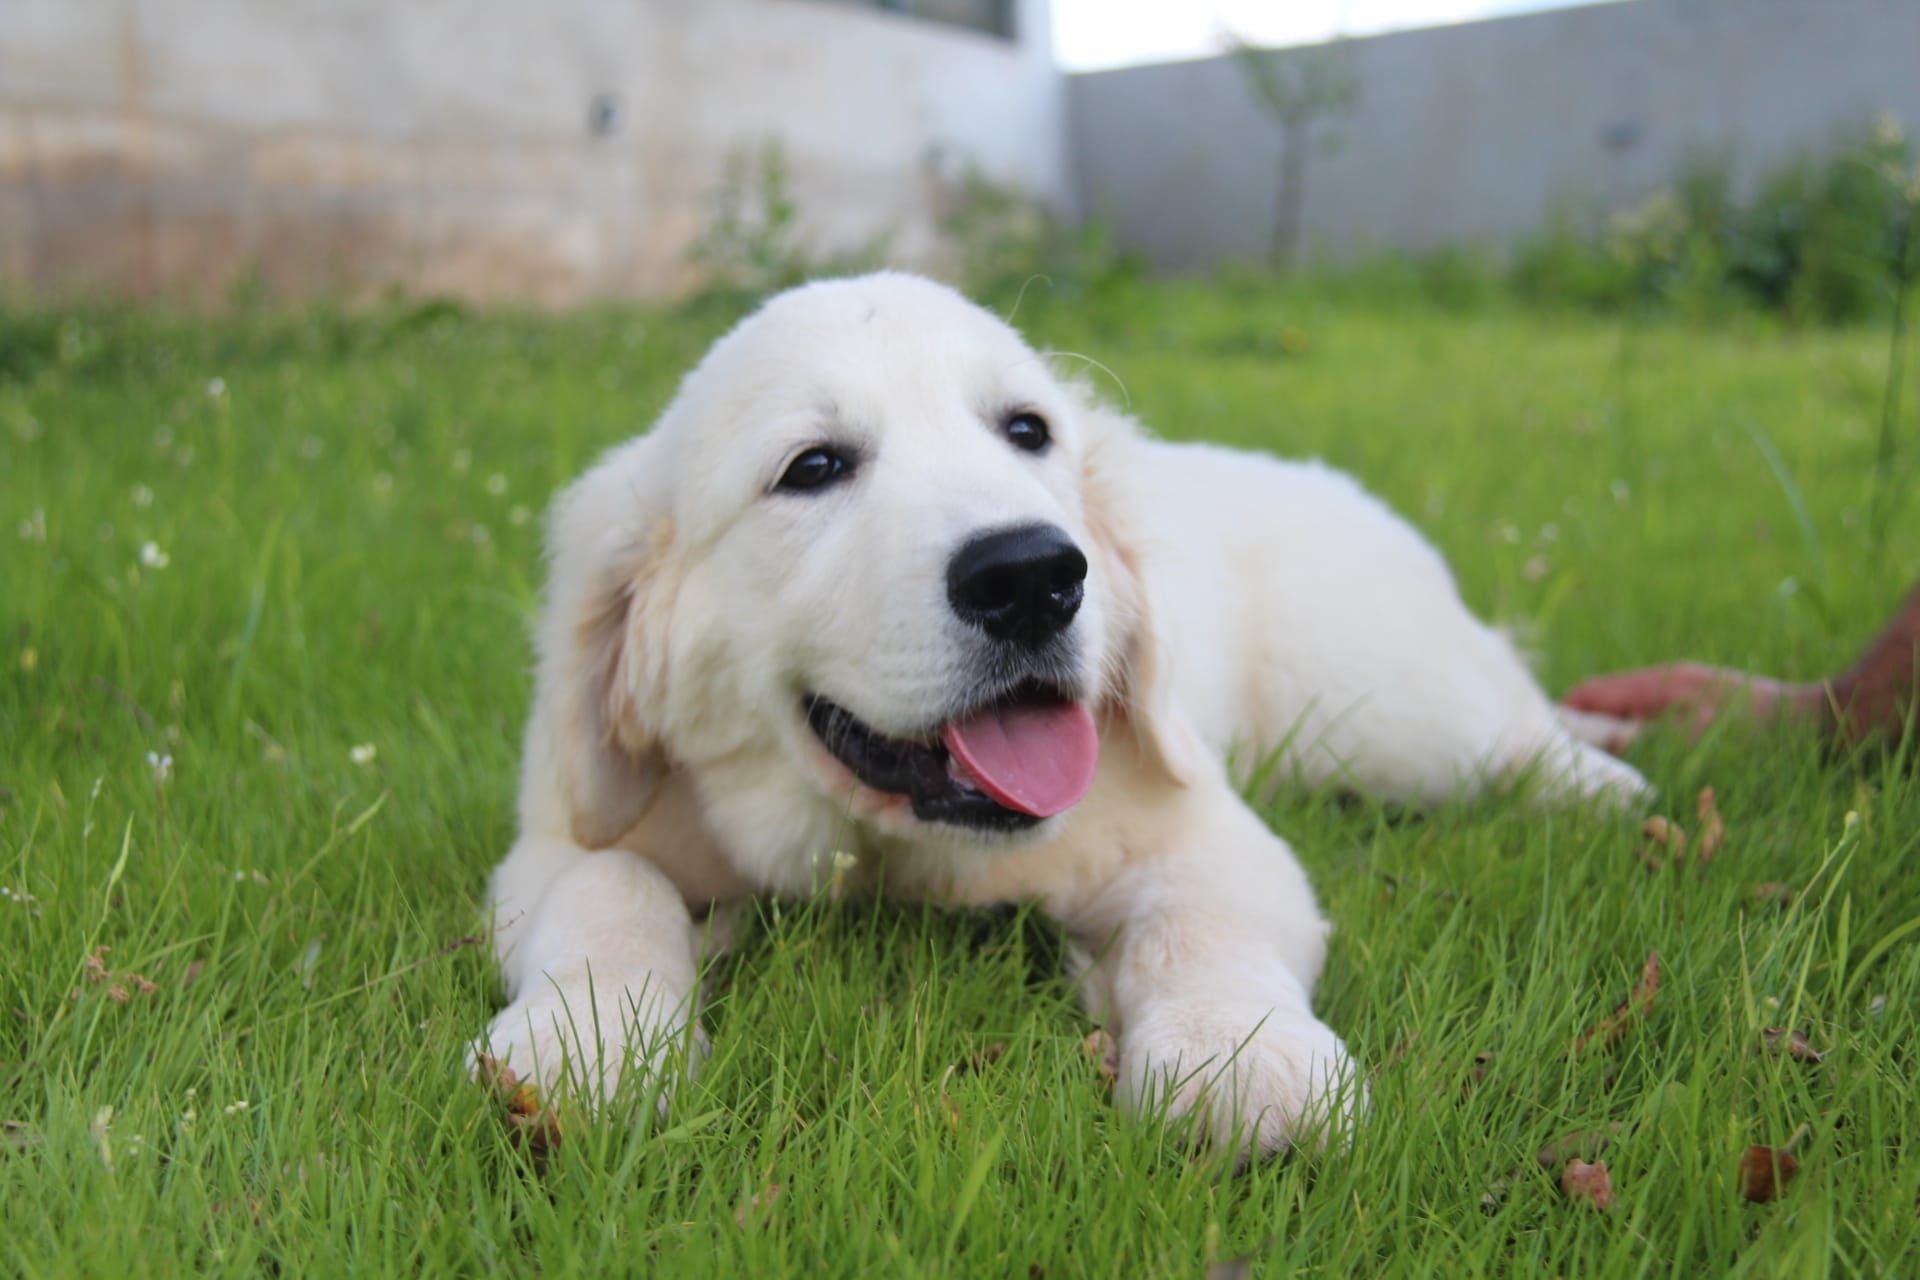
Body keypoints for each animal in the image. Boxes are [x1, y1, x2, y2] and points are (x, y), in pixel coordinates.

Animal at [472, 276, 1643, 1159]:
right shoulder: (561, 838)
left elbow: (1196, 920)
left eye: (1026, 431)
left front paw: (1243, 1057)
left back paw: (1614, 783)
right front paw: (587, 1043)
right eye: (814, 467)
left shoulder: (1204, 827)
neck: (896, 847)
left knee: (1515, 729)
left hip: (1401, 714)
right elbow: (604, 886)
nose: (1032, 575)